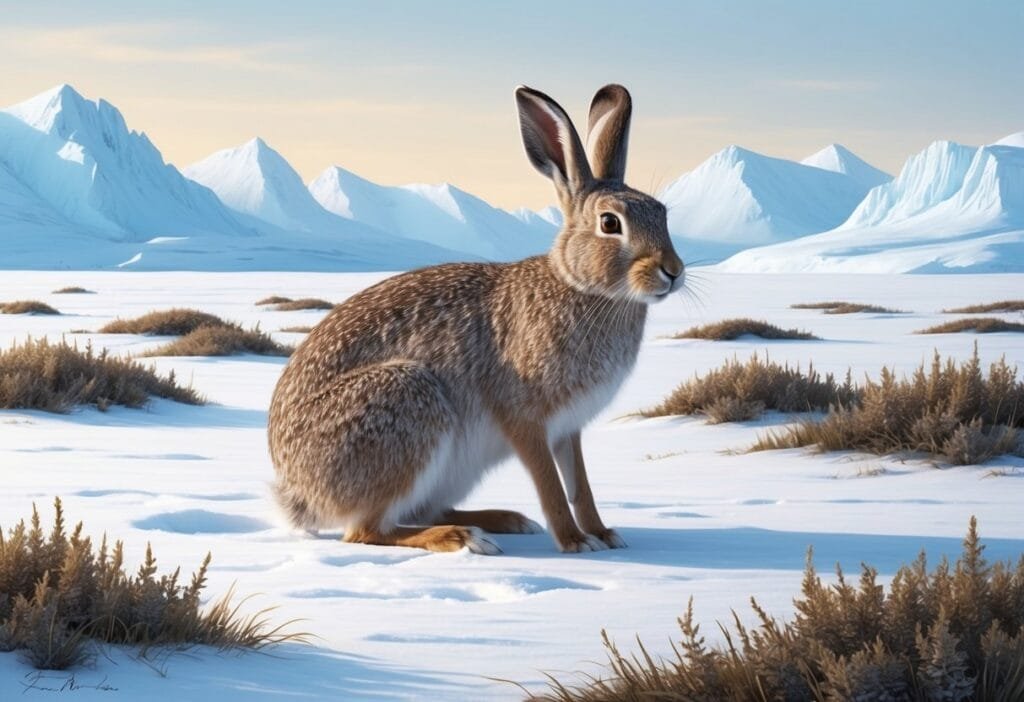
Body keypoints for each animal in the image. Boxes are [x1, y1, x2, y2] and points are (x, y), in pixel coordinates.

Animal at [268, 84, 684, 554]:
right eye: (610, 223)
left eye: (662, 212)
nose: (673, 270)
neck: (580, 287)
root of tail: (298, 490)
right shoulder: (525, 417)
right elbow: (551, 486)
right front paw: (574, 542)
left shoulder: (568, 428)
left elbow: (581, 485)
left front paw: (604, 535)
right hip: (406, 404)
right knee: (368, 530)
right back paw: (462, 538)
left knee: (420, 511)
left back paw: (503, 520)